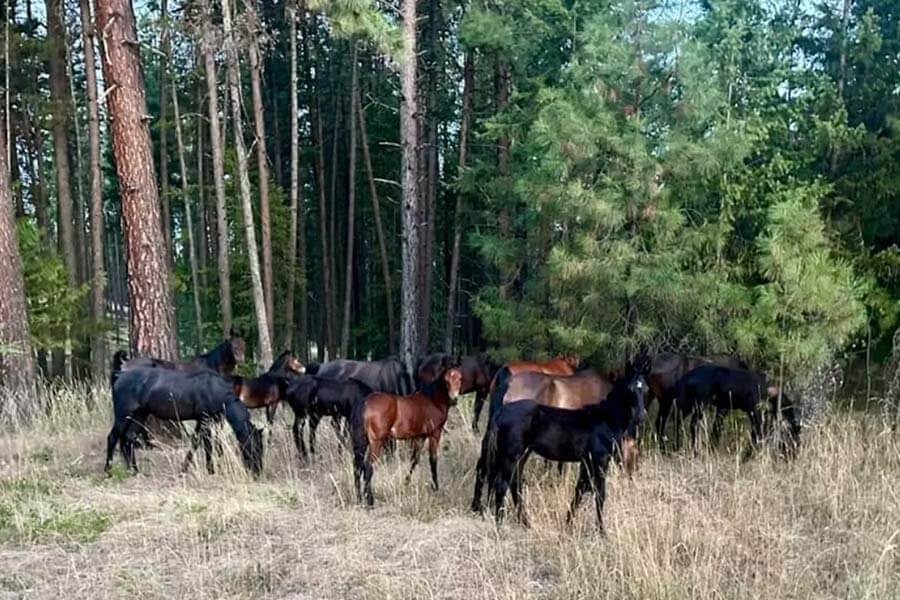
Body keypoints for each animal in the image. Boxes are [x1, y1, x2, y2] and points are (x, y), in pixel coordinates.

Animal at [105, 364, 264, 476]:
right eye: (254, 447)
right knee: (113, 438)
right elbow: (206, 445)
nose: (257, 472)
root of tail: (120, 375)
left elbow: (199, 443)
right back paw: (108, 471)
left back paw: (134, 470)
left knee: (128, 439)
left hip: (140, 414)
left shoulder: (207, 421)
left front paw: (185, 469)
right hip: (123, 414)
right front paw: (210, 470)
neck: (215, 390)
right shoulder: (205, 419)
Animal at [351, 368, 463, 506]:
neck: (432, 400)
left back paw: (359, 498)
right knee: (368, 466)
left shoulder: (420, 437)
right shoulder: (434, 434)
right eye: (446, 380)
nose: (454, 399)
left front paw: (406, 483)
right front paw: (436, 487)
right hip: (376, 442)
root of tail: (365, 402)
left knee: (357, 465)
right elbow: (433, 460)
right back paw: (370, 501)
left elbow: (415, 459)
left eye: (460, 378)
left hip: (362, 442)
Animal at [486, 372, 649, 531]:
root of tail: (502, 412)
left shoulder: (587, 462)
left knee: (515, 483)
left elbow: (581, 489)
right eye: (630, 389)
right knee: (502, 485)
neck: (605, 420)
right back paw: (500, 526)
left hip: (522, 454)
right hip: (510, 455)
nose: (641, 417)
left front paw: (569, 522)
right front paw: (602, 531)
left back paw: (526, 523)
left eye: (645, 389)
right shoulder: (599, 460)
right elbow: (600, 494)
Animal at [671, 364, 801, 454]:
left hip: (685, 404)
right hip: (699, 405)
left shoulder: (723, 408)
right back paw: (694, 450)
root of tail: (685, 379)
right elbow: (757, 432)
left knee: (677, 421)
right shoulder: (753, 411)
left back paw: (676, 447)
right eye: (792, 438)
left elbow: (716, 430)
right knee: (692, 425)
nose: (794, 454)